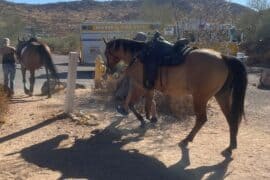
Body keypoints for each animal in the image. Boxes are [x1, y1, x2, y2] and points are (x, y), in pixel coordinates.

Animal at [104, 37, 248, 155]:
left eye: (106, 53)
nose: (110, 69)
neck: (138, 55)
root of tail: (223, 57)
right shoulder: (147, 87)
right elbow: (150, 102)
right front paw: (152, 118)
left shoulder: (139, 85)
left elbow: (132, 103)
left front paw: (141, 118)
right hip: (221, 95)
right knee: (231, 118)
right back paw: (231, 146)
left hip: (200, 97)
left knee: (202, 119)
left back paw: (187, 139)